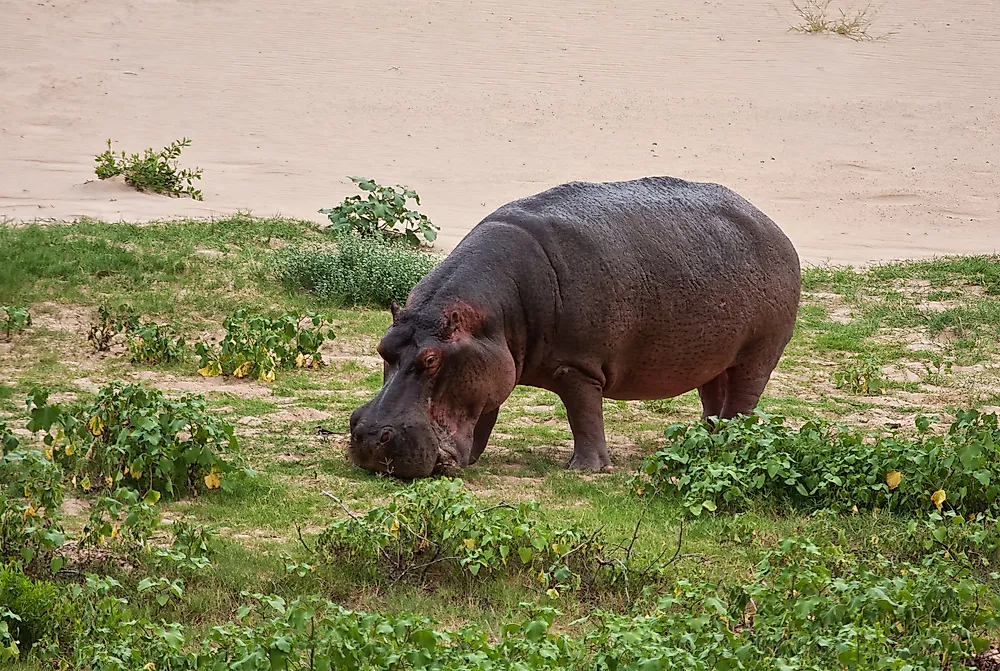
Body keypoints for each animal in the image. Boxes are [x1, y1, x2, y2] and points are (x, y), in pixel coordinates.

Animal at [348, 176, 801, 479]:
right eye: (382, 348)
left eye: (431, 359)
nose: (369, 437)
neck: (492, 313)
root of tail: (773, 225)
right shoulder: (491, 361)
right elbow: (485, 413)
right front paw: (473, 458)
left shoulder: (577, 366)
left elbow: (583, 415)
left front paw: (585, 469)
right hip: (714, 356)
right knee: (713, 398)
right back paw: (705, 444)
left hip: (758, 355)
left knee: (743, 400)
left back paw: (729, 449)